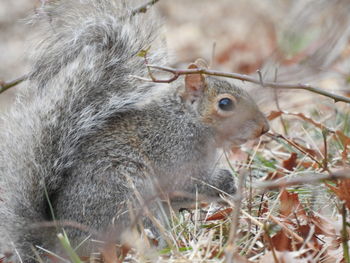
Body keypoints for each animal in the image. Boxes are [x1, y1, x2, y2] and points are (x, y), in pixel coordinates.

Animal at [0, 0, 268, 262]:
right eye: (225, 104)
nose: (264, 128)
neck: (187, 122)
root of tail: (57, 247)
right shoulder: (173, 154)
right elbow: (183, 185)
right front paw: (227, 180)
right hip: (130, 199)